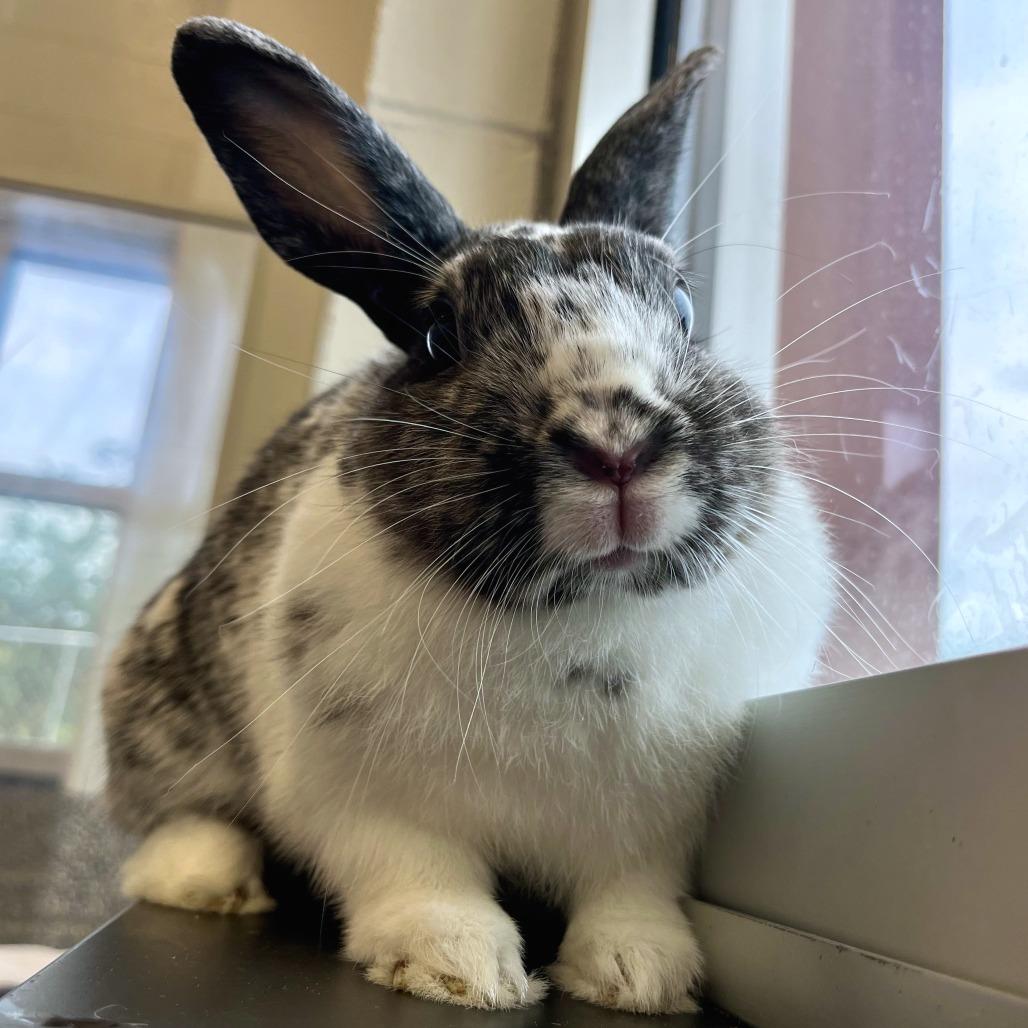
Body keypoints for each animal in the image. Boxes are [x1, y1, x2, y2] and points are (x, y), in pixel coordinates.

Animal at [103, 17, 832, 1015]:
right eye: (439, 336)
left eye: (684, 309)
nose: (616, 444)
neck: (574, 616)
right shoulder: (368, 802)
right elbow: (421, 878)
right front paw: (460, 969)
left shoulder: (653, 825)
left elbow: (631, 894)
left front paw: (637, 975)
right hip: (159, 698)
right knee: (172, 815)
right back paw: (205, 880)